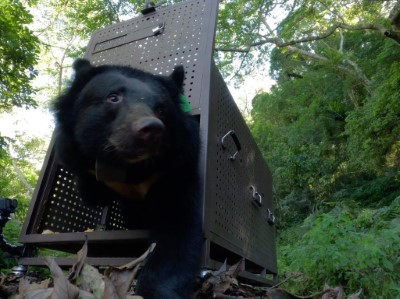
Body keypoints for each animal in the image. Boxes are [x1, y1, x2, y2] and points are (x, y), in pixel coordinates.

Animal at [52, 59, 203, 299]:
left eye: (161, 109)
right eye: (113, 97)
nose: (151, 129)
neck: (129, 166)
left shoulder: (178, 165)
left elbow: (178, 225)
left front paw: (157, 291)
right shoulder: (74, 153)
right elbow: (90, 189)